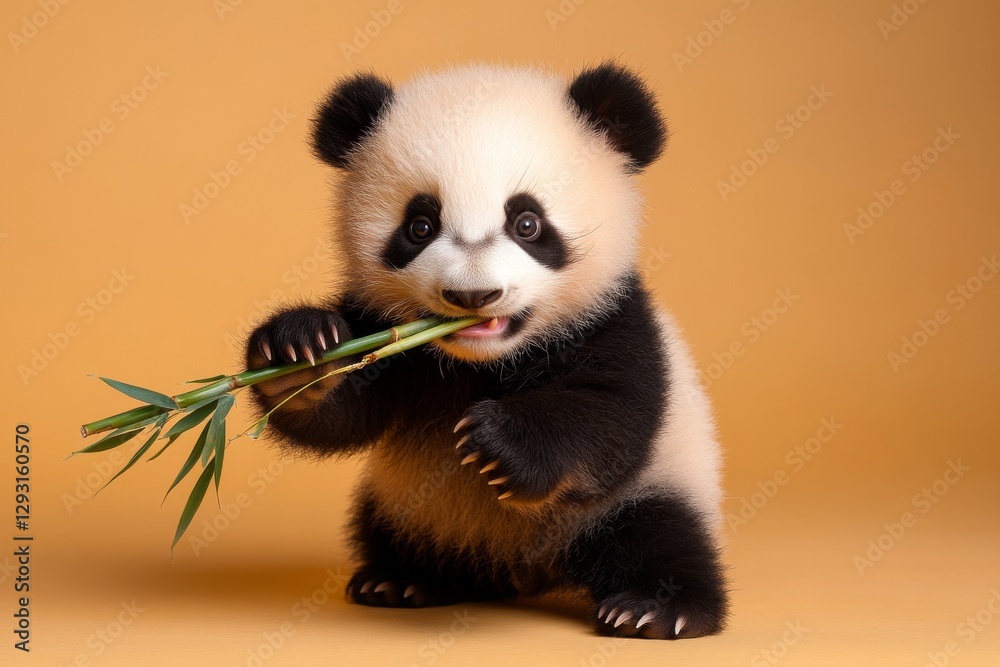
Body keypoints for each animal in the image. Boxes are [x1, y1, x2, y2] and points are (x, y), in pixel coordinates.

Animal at [245, 62, 728, 640]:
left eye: (528, 223)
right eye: (420, 225)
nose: (473, 295)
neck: (483, 361)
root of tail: (531, 570)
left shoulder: (615, 320)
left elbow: (611, 414)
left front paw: (497, 442)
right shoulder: (391, 340)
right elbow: (342, 414)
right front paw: (300, 352)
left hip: (658, 481)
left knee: (659, 535)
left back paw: (652, 608)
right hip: (409, 502)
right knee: (391, 529)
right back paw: (403, 578)